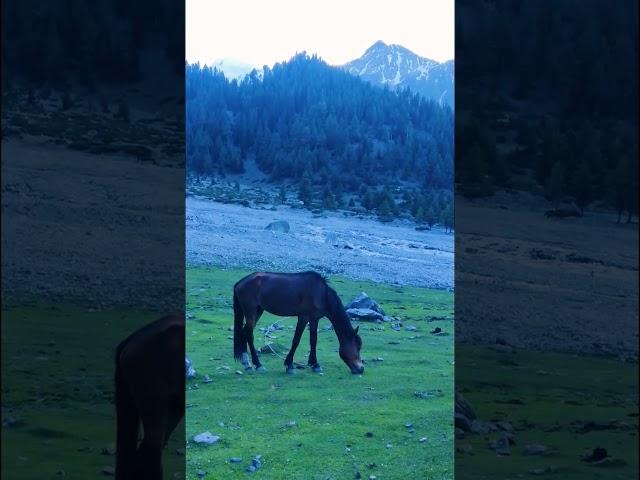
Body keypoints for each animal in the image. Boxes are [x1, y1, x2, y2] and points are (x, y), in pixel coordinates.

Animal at [231, 272, 362, 374]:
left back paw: (247, 363)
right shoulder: (303, 317)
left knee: (244, 332)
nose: (361, 369)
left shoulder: (314, 319)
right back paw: (258, 365)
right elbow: (296, 340)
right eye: (358, 347)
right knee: (249, 334)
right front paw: (289, 365)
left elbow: (313, 340)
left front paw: (315, 364)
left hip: (258, 310)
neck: (321, 294)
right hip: (251, 311)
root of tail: (240, 282)